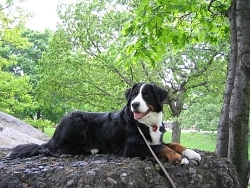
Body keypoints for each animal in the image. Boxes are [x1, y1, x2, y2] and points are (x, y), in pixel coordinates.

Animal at [6, 83, 200, 164]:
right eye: (134, 94)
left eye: (146, 94)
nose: (134, 104)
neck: (146, 123)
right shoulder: (132, 147)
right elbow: (162, 147)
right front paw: (177, 157)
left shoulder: (155, 138)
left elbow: (173, 143)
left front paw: (191, 153)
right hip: (76, 120)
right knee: (60, 150)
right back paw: (91, 149)